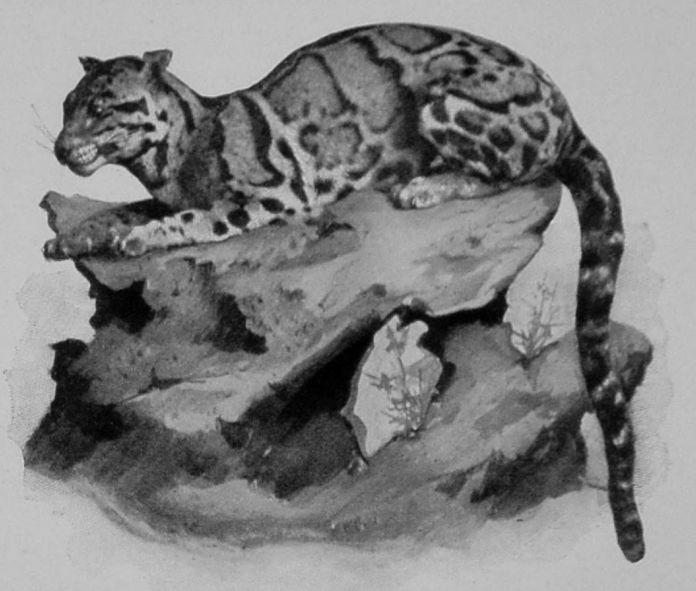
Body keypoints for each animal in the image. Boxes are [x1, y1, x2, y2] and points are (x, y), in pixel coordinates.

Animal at [45, 23, 642, 561]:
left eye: (101, 107)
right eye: (67, 105)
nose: (59, 147)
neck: (169, 160)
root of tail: (564, 109)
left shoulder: (276, 194)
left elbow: (189, 219)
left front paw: (138, 236)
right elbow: (126, 209)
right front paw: (77, 235)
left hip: (446, 103)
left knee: (520, 171)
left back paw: (428, 185)